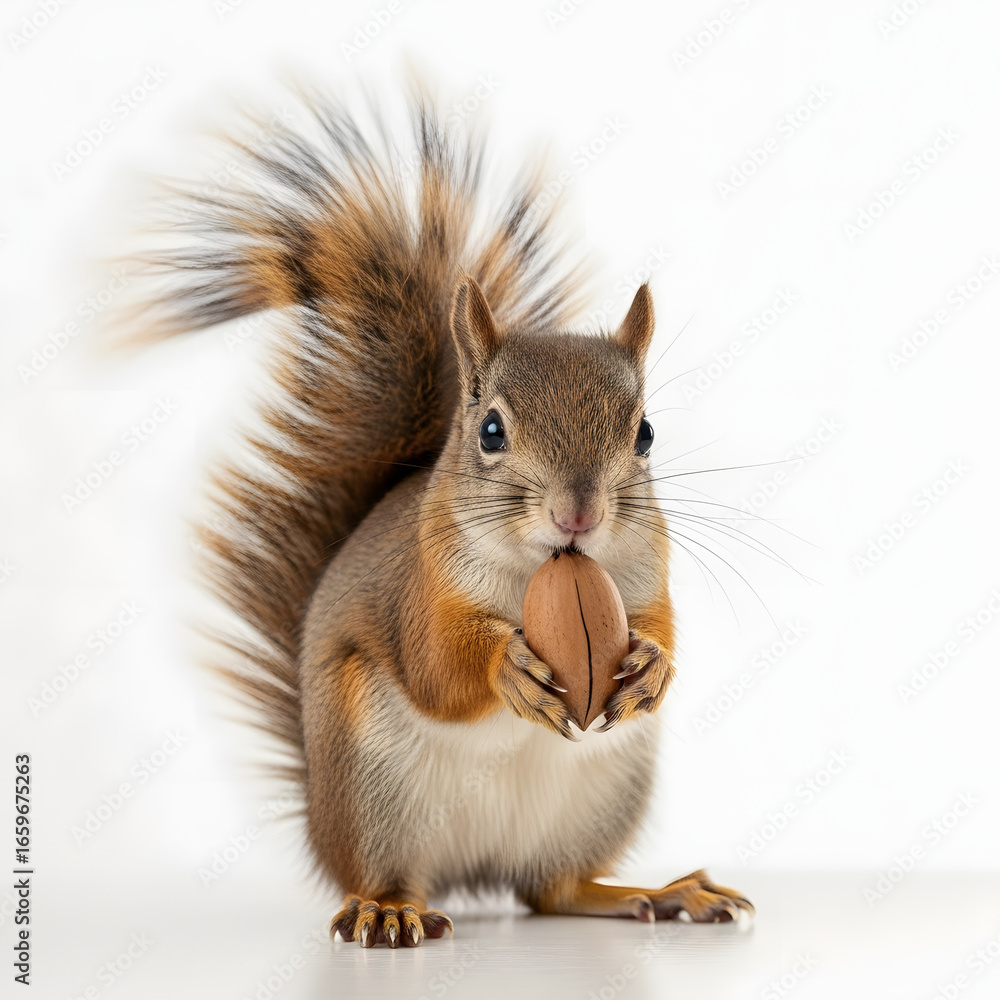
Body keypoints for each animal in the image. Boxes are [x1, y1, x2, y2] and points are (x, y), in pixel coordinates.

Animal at [141, 90, 754, 948]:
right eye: (491, 430)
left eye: (646, 433)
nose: (578, 513)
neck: (545, 569)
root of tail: (470, 874)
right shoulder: (420, 586)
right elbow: (436, 664)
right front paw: (507, 667)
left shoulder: (645, 572)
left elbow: (659, 623)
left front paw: (653, 666)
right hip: (374, 791)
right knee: (392, 875)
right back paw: (387, 911)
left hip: (602, 791)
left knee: (553, 889)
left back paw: (661, 893)